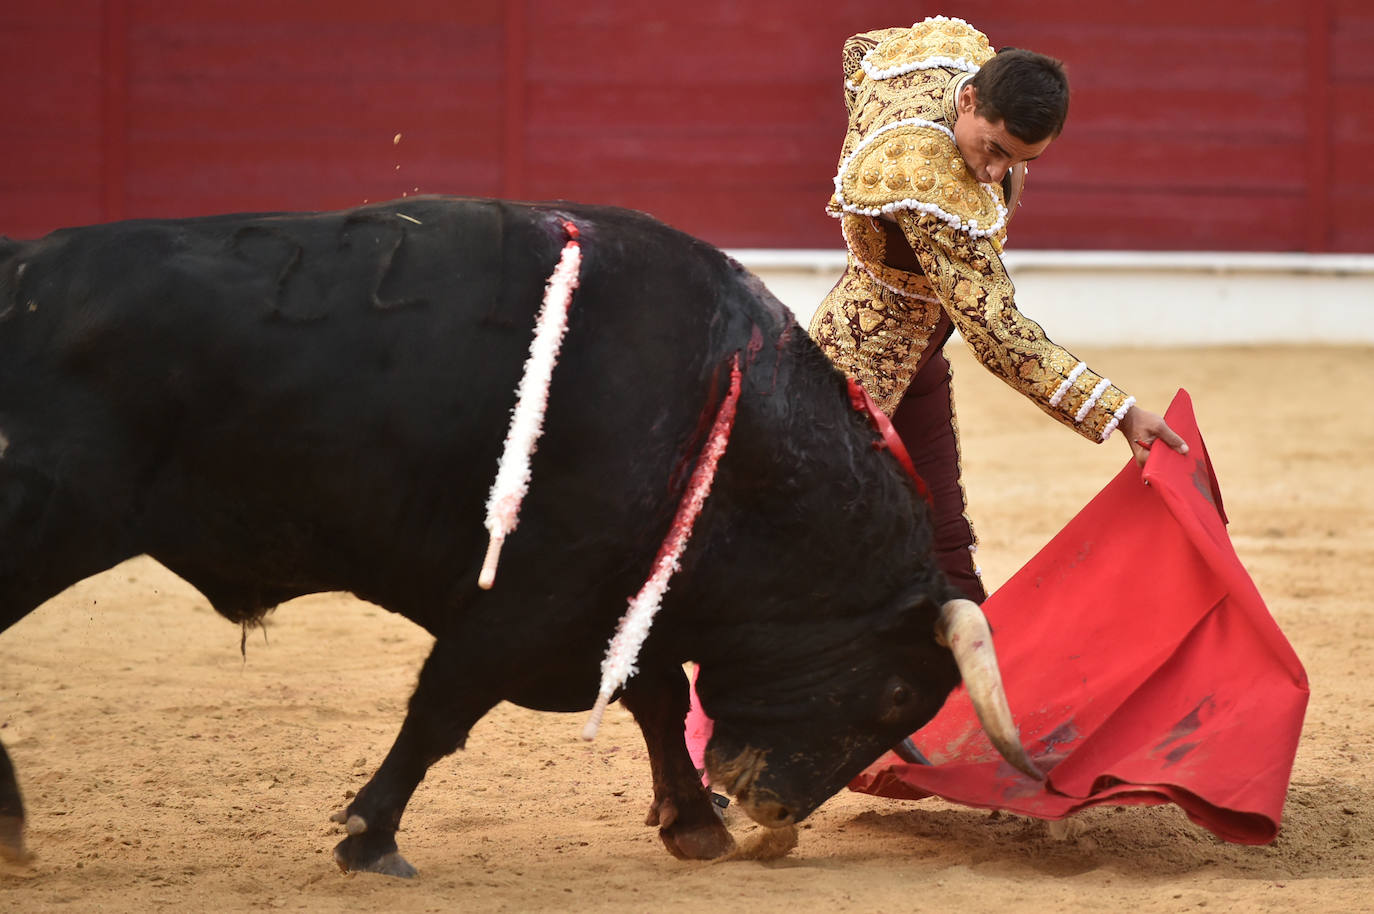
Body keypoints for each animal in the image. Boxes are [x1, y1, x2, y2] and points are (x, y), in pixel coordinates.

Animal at [0, 199, 1033, 879]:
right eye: (896, 693)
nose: (771, 812)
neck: (723, 415)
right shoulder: (533, 592)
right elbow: (447, 704)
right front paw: (368, 837)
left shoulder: (614, 596)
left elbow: (655, 695)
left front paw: (693, 824)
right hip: (43, 522)